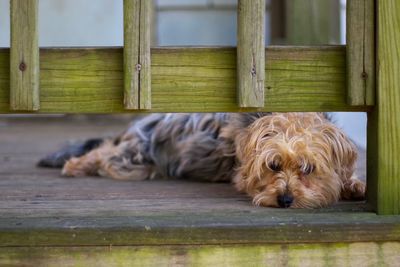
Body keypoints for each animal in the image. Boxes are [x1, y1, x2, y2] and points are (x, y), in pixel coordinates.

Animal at [38, 113, 366, 209]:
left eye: (308, 169)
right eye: (272, 166)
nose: (285, 200)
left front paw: (355, 186)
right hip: (135, 159)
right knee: (105, 152)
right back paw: (74, 164)